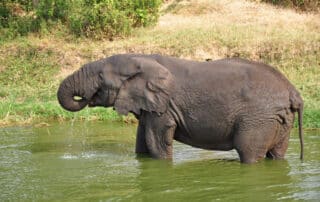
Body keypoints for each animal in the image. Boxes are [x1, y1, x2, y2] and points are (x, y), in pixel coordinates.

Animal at [56, 52, 304, 163]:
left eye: (100, 76)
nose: (86, 97)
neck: (142, 58)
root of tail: (293, 91)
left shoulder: (164, 106)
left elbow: (157, 142)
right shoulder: (151, 106)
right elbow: (142, 144)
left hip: (258, 118)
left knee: (249, 152)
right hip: (279, 120)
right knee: (277, 153)